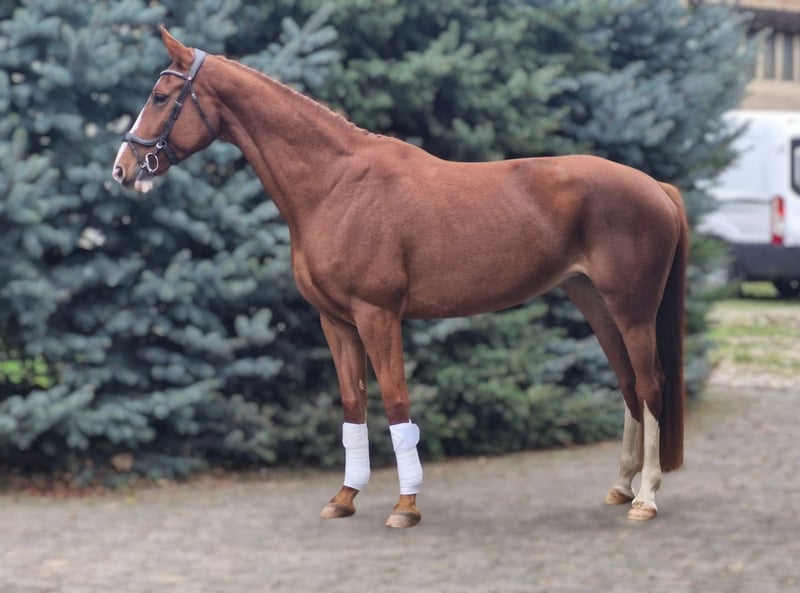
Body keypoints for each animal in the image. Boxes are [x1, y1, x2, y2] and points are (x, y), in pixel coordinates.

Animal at [113, 26, 688, 528]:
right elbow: (354, 406)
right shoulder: (335, 321)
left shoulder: (378, 315)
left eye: (161, 96)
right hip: (595, 303)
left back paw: (646, 498)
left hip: (632, 309)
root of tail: (655, 186)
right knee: (627, 385)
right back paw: (621, 487)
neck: (335, 185)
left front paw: (405, 507)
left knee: (650, 384)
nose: (123, 168)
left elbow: (395, 403)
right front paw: (344, 498)